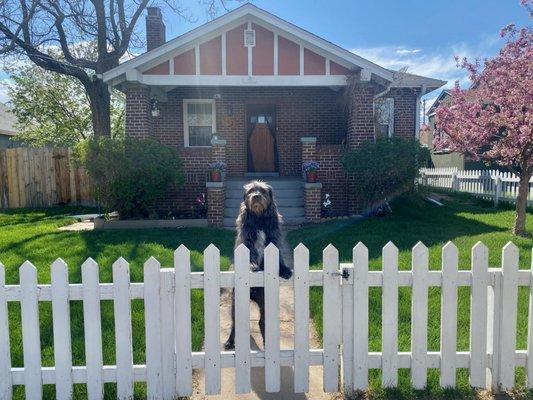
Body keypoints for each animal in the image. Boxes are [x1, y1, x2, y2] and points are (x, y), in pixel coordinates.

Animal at [223, 181, 294, 350]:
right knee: (235, 323)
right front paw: (252, 266)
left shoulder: (274, 240)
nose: (256, 196)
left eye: (262, 190)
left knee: (262, 322)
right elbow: (250, 254)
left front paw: (284, 270)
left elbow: (279, 258)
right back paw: (230, 341)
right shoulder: (246, 241)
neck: (259, 218)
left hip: (265, 302)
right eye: (250, 191)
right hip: (236, 302)